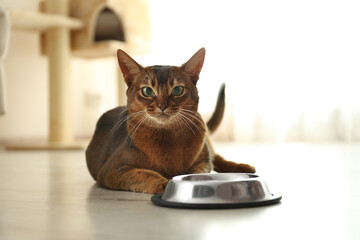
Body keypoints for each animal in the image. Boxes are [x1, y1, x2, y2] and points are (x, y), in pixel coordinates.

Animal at [86, 47, 256, 194]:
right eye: (147, 91)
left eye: (177, 90)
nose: (162, 106)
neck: (168, 136)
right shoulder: (111, 170)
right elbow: (143, 173)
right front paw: (163, 183)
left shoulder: (203, 161)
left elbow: (200, 170)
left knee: (217, 157)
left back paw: (243, 167)